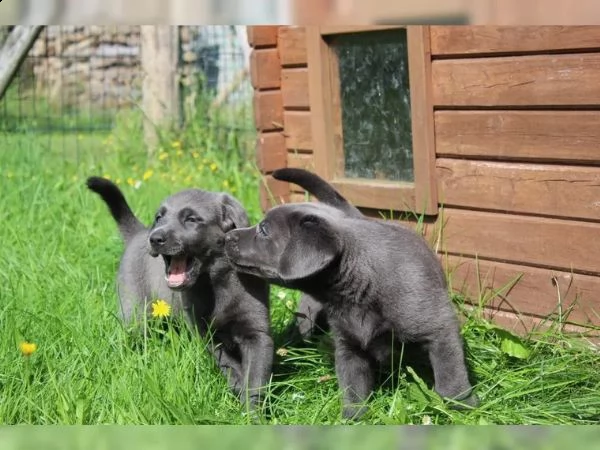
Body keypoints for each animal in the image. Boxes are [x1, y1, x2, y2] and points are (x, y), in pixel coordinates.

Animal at [85, 178, 274, 410]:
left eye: (191, 219)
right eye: (159, 217)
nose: (155, 238)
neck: (216, 283)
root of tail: (138, 233)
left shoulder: (257, 334)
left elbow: (255, 378)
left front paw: (251, 411)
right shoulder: (205, 334)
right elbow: (228, 363)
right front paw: (238, 385)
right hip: (134, 311)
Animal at [225, 167, 478, 420]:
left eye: (264, 230)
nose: (227, 237)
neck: (358, 288)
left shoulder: (440, 330)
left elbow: (449, 376)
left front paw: (461, 407)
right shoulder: (349, 347)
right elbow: (353, 386)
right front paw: (353, 418)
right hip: (308, 317)